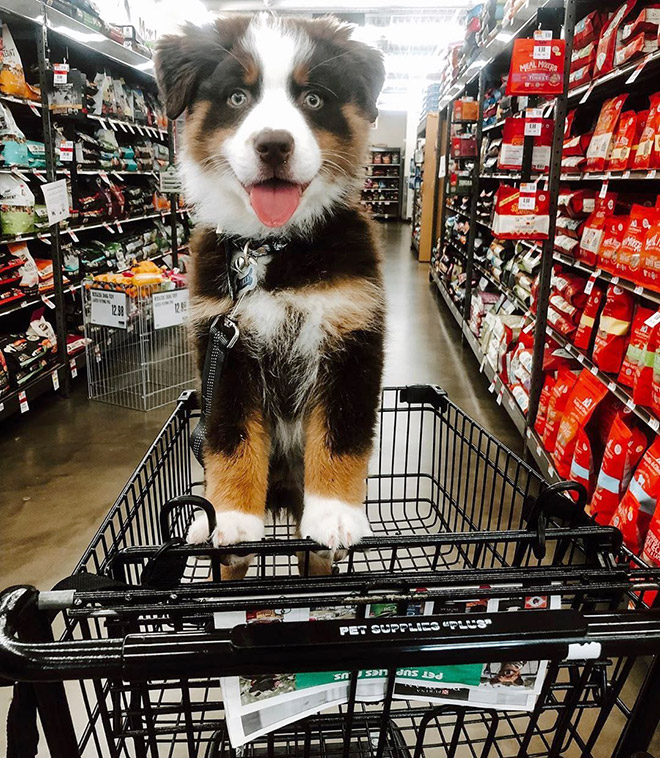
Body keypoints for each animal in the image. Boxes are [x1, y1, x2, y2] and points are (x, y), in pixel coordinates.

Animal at [155, 11, 386, 580]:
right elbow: (230, 435)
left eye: (314, 99)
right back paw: (205, 521)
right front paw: (234, 519)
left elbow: (340, 434)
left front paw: (335, 515)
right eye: (238, 97)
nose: (274, 144)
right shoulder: (224, 346)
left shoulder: (352, 334)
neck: (271, 248)